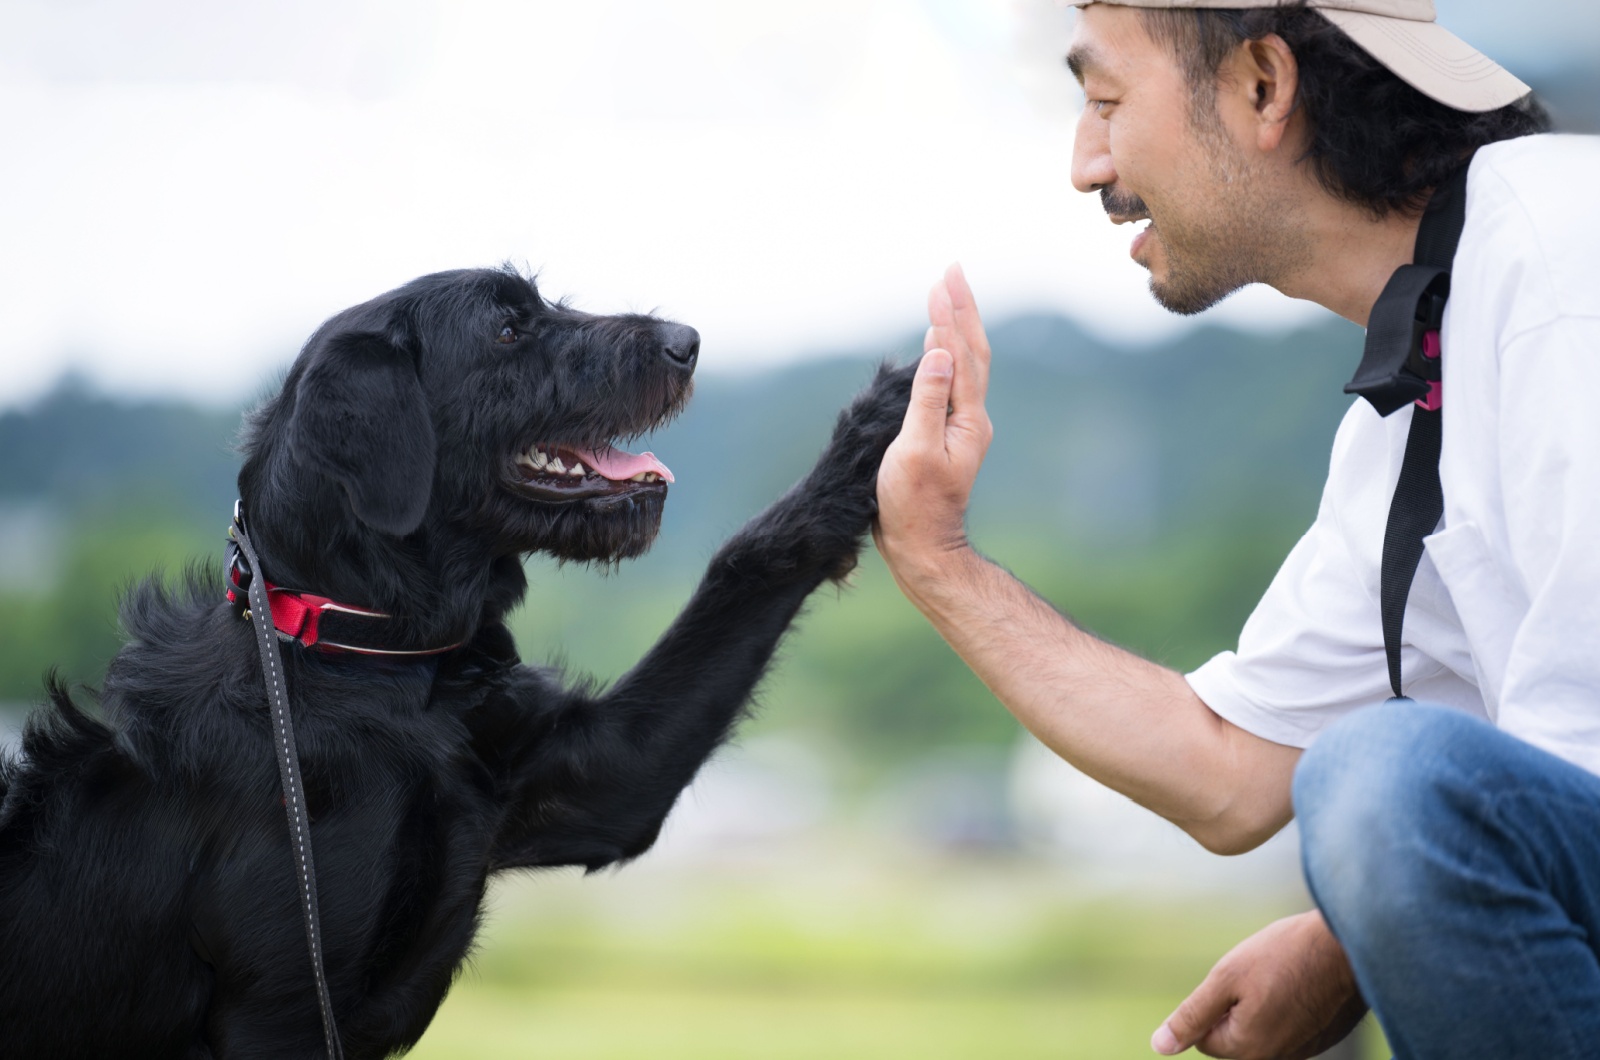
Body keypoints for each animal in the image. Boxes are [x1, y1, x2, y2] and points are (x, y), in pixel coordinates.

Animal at [0, 270, 915, 1060]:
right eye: (507, 330)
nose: (686, 340)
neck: (374, 662)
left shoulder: (604, 779)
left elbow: (745, 562)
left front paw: (878, 430)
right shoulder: (280, 1010)